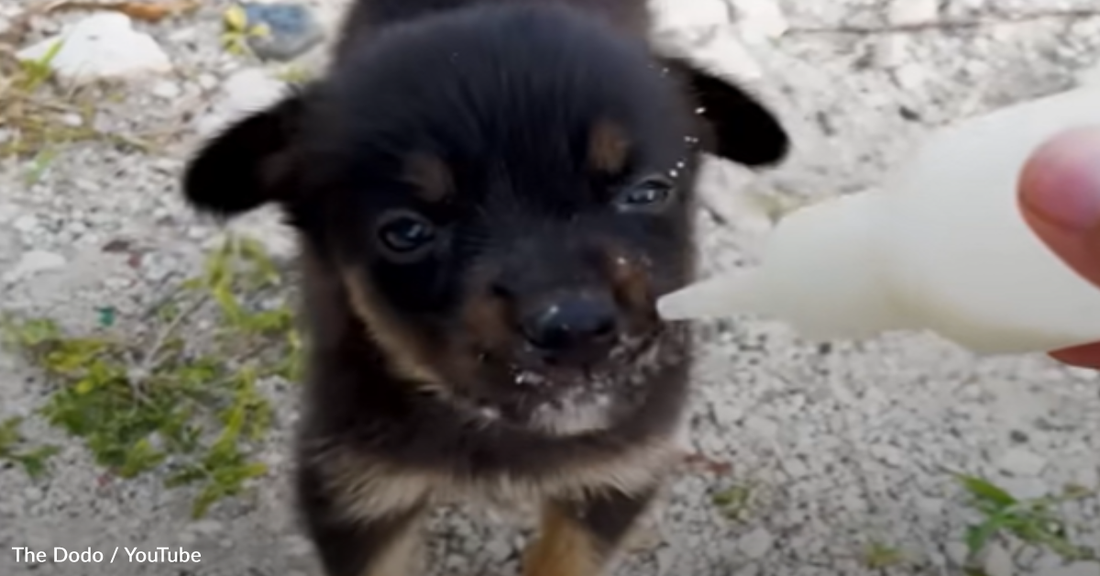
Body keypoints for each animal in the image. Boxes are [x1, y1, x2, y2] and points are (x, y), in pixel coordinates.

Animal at [178, 1, 783, 576]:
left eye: (647, 191)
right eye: (405, 232)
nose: (576, 327)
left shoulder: (617, 472)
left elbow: (565, 561)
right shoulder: (355, 485)